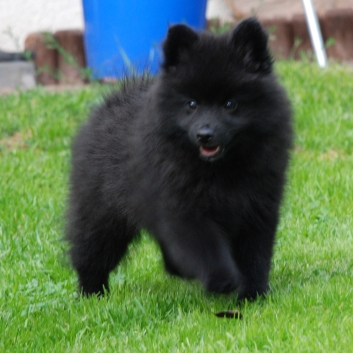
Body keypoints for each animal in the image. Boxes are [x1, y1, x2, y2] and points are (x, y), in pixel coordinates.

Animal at [66, 17, 292, 300]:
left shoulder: (258, 207)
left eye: (230, 104)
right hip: (102, 214)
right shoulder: (183, 209)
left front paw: (253, 294)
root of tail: (111, 104)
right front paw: (223, 280)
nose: (205, 134)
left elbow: (256, 254)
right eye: (191, 104)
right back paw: (92, 293)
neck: (220, 170)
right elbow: (208, 247)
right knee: (91, 252)